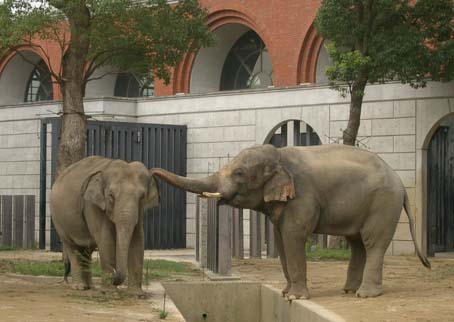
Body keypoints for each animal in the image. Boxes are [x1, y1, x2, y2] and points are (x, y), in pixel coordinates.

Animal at [49, 155, 159, 292]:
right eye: (111, 195)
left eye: (142, 197)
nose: (114, 279)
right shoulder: (92, 205)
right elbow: (106, 240)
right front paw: (109, 291)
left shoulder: (140, 211)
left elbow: (138, 239)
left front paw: (136, 294)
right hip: (59, 220)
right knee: (72, 247)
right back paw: (79, 287)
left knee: (87, 250)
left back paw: (89, 287)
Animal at [152, 144, 430, 300]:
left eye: (239, 173)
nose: (152, 173)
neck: (280, 157)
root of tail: (399, 181)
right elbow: (280, 238)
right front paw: (286, 293)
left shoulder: (303, 196)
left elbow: (293, 236)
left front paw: (296, 297)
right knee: (357, 243)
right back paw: (348, 291)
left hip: (383, 203)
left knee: (373, 242)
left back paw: (365, 295)